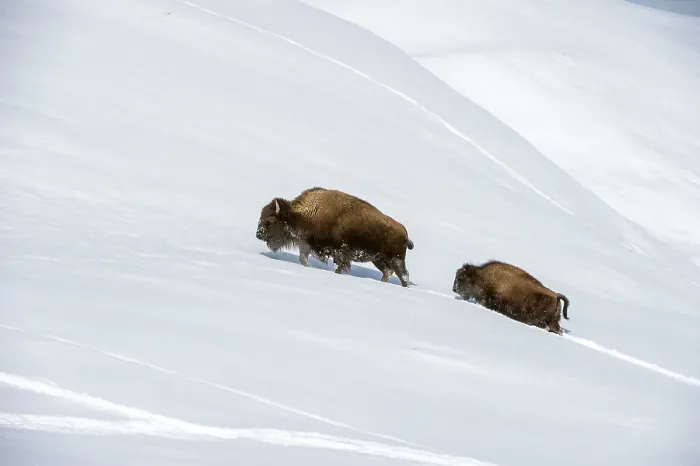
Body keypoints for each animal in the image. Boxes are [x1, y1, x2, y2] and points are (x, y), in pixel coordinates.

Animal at [255, 187, 414, 287]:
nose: (258, 234)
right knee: (388, 272)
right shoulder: (307, 244)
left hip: (396, 260)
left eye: (270, 220)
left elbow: (338, 266)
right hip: (378, 260)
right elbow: (303, 259)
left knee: (404, 276)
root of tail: (404, 232)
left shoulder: (339, 252)